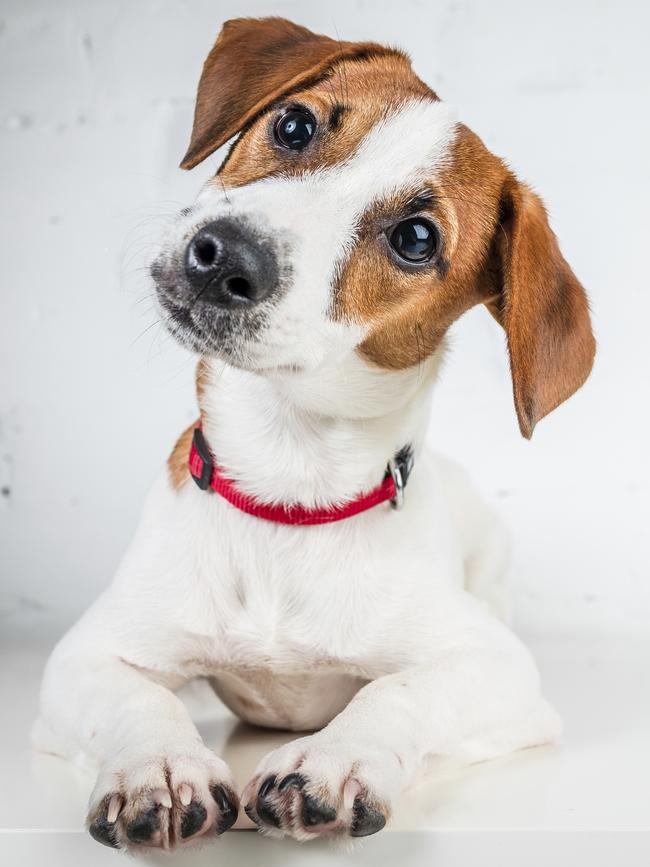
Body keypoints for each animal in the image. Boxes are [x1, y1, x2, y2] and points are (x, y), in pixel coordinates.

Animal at [31, 15, 592, 856]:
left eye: (416, 238)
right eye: (294, 125)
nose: (225, 254)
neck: (287, 481)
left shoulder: (500, 670)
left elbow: (400, 688)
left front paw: (335, 757)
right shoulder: (86, 655)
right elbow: (140, 700)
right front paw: (161, 764)